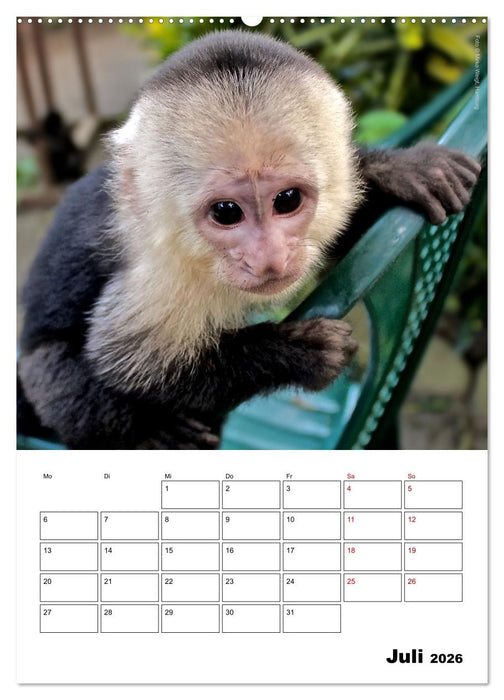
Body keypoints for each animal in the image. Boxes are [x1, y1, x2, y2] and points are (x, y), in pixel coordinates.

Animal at [17, 31, 481, 449]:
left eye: (287, 200)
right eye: (227, 212)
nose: (269, 259)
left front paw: (399, 172)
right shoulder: (160, 271)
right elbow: (131, 363)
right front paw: (295, 355)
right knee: (50, 371)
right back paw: (154, 432)